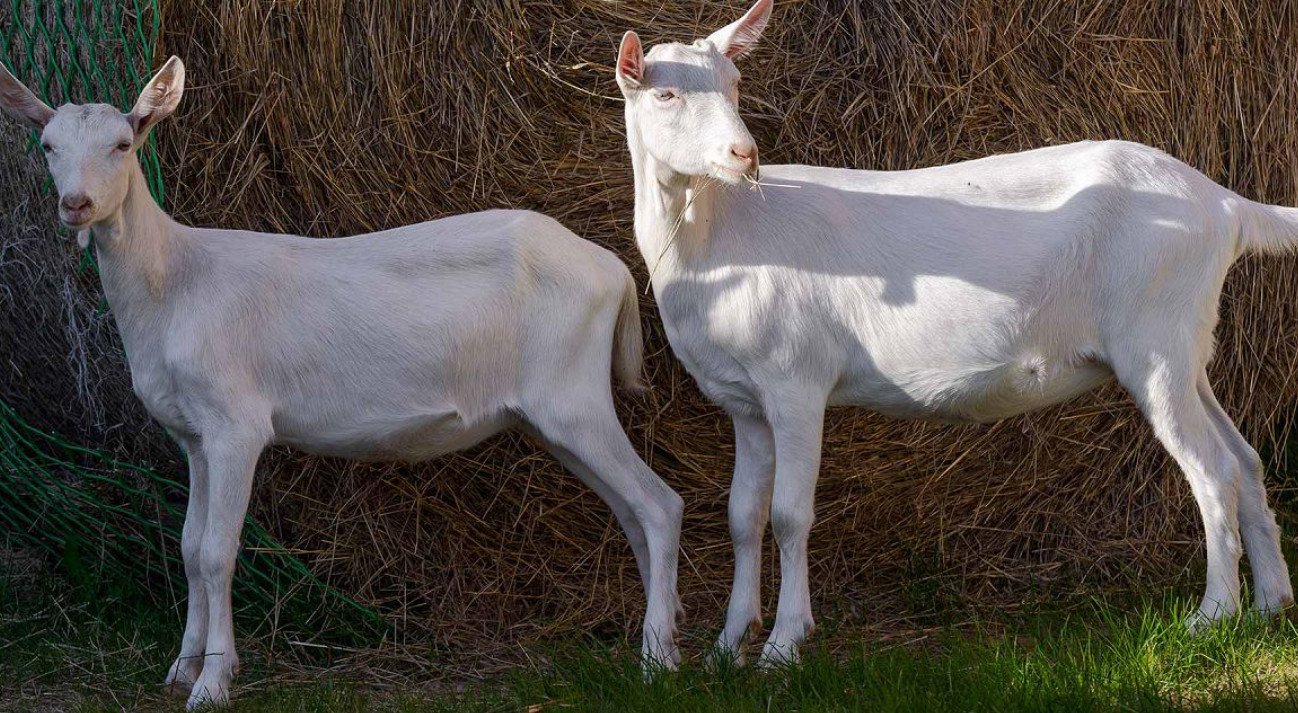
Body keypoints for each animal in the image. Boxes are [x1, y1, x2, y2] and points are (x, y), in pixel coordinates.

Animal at [0, 57, 683, 708]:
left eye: (123, 143)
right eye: (47, 145)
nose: (76, 205)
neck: (175, 289)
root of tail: (615, 271)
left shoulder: (235, 423)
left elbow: (219, 550)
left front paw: (213, 684)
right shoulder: (192, 434)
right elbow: (191, 547)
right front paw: (181, 668)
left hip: (572, 398)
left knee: (659, 503)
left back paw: (656, 661)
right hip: (559, 412)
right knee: (631, 511)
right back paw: (667, 640)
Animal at [615, 0, 1294, 666]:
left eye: (735, 82)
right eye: (665, 93)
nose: (744, 156)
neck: (725, 234)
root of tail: (1226, 206)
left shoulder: (795, 381)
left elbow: (788, 515)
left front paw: (784, 645)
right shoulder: (745, 402)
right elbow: (742, 517)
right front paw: (728, 646)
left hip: (1153, 341)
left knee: (1213, 469)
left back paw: (1213, 615)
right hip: (1184, 346)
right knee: (1244, 456)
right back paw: (1271, 603)